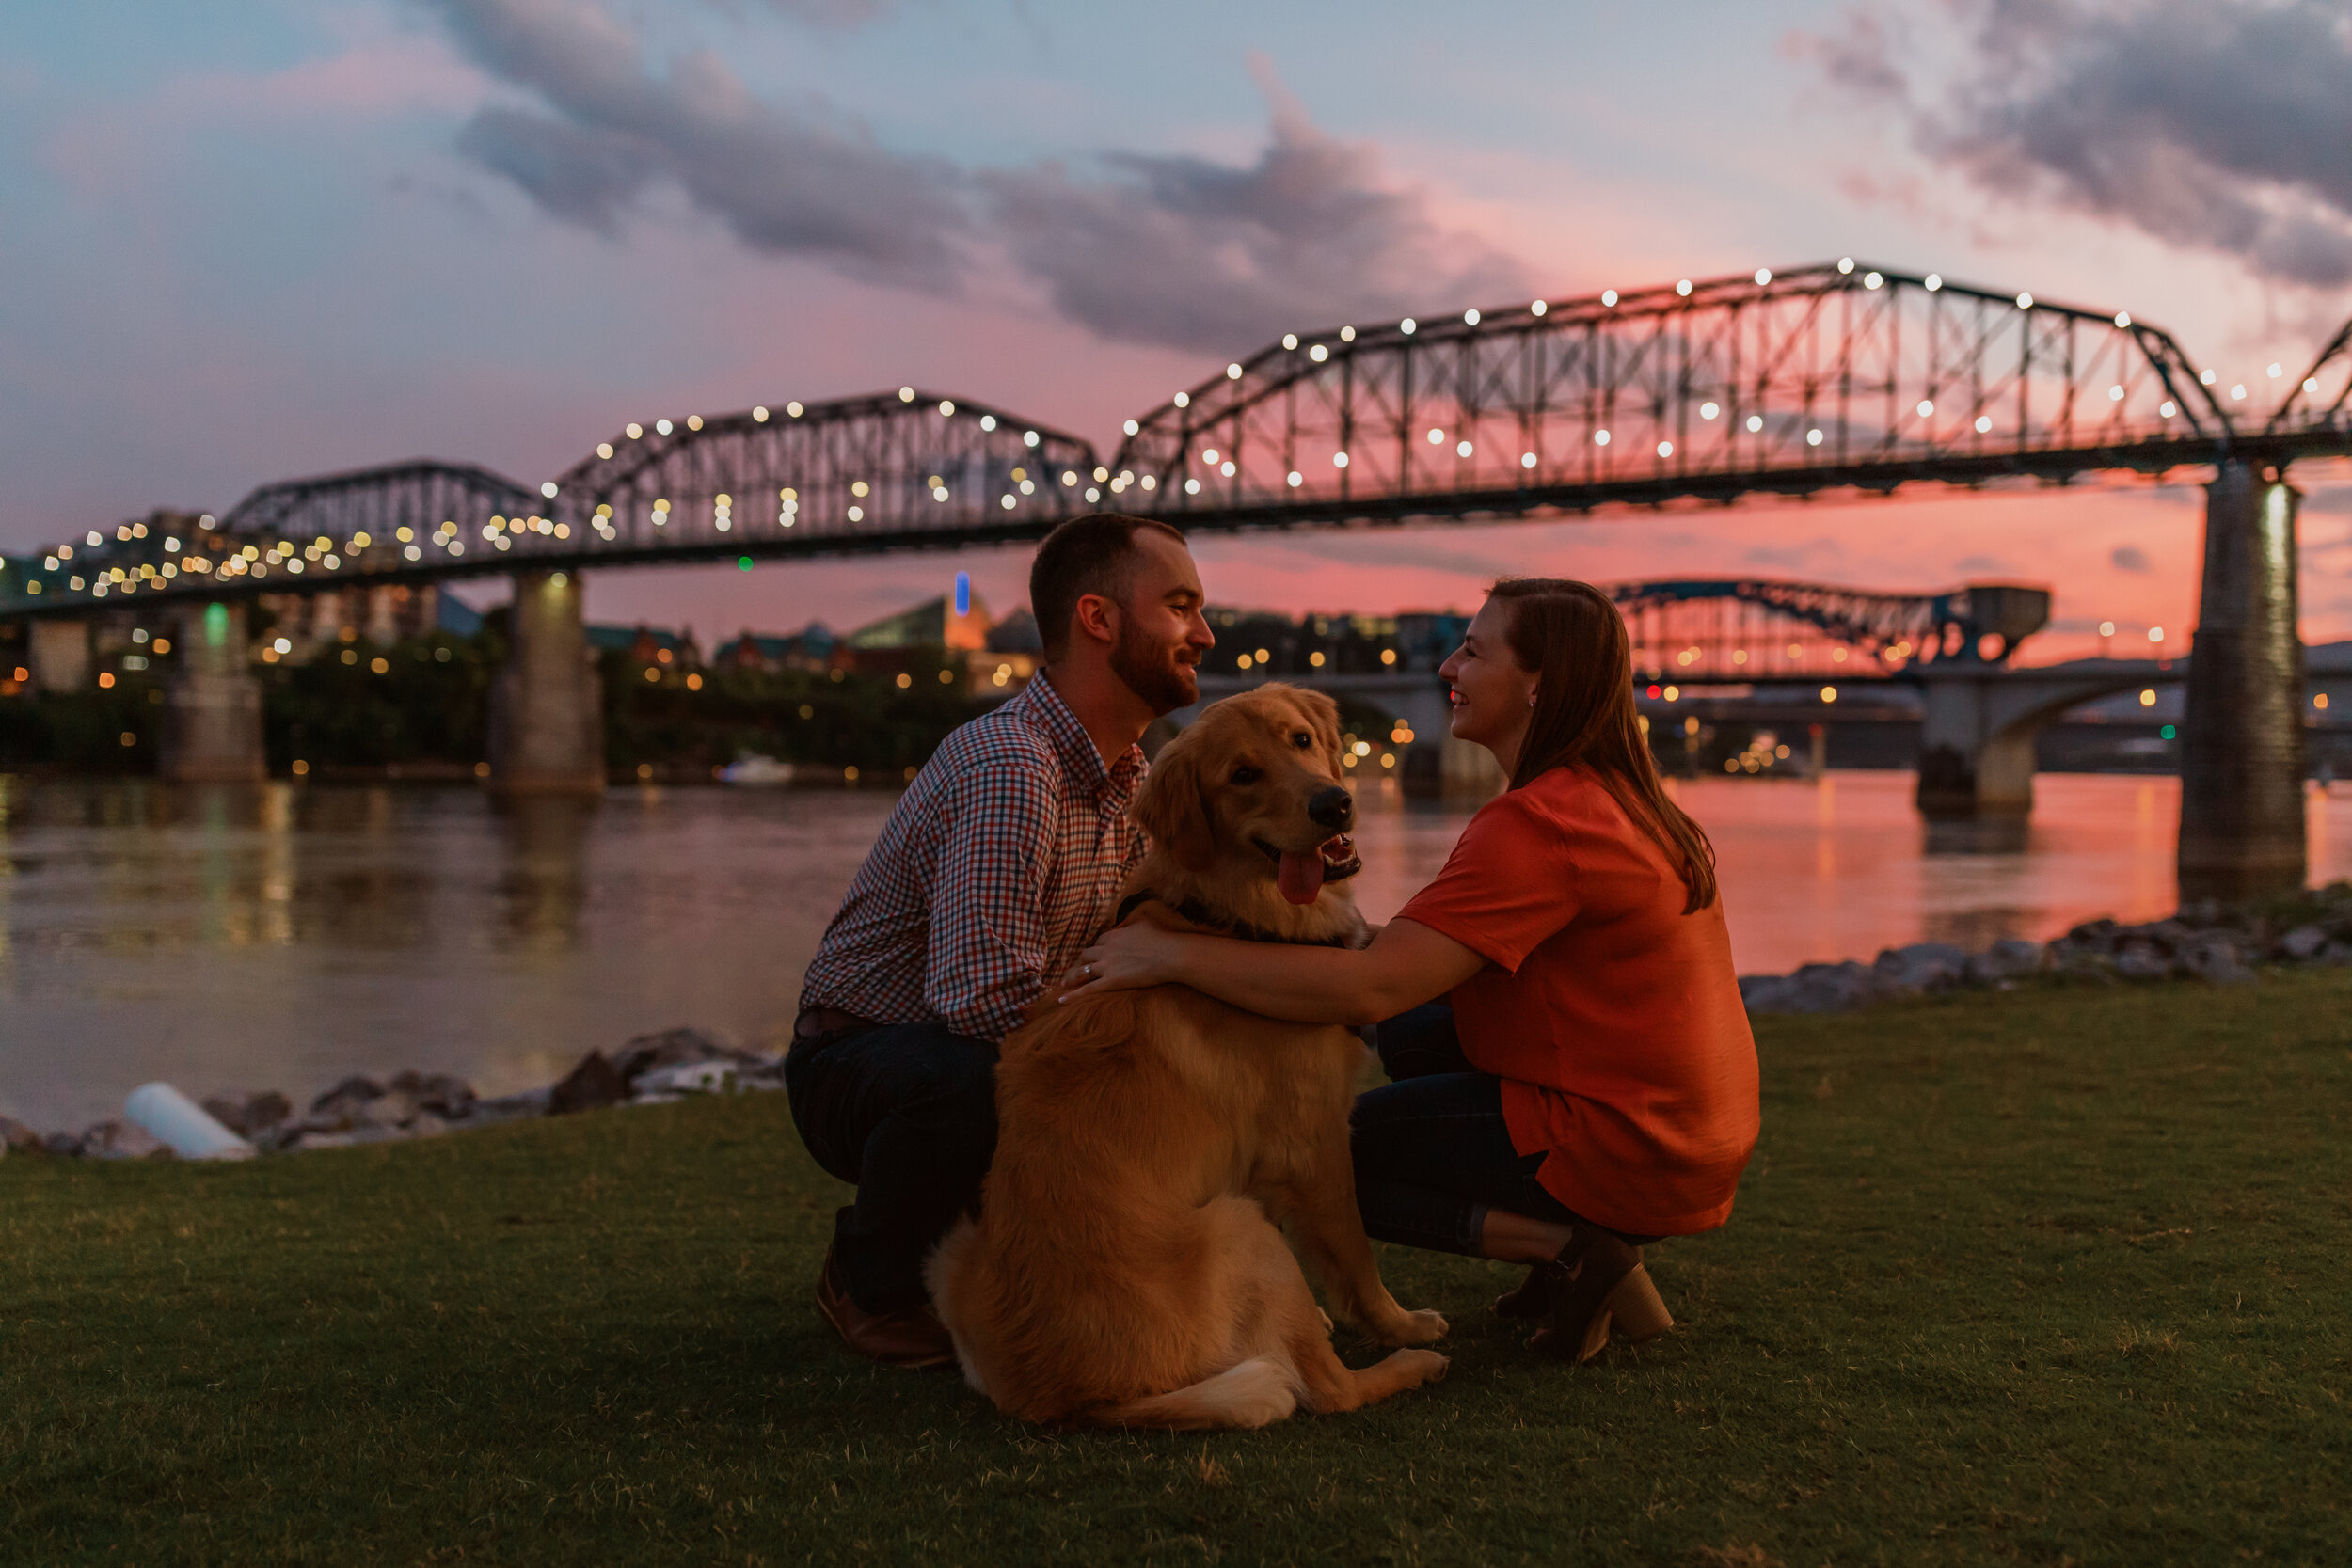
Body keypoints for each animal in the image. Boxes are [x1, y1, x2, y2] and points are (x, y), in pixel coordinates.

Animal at [922, 681, 1439, 1429]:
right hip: (1239, 1227)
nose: (1333, 804)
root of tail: (1077, 1399)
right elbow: (1355, 1254)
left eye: (1300, 740)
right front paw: (1396, 1321)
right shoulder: (1315, 1143)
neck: (1225, 917)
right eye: (1242, 775)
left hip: (950, 1253)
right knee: (1330, 1388)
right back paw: (1412, 1361)